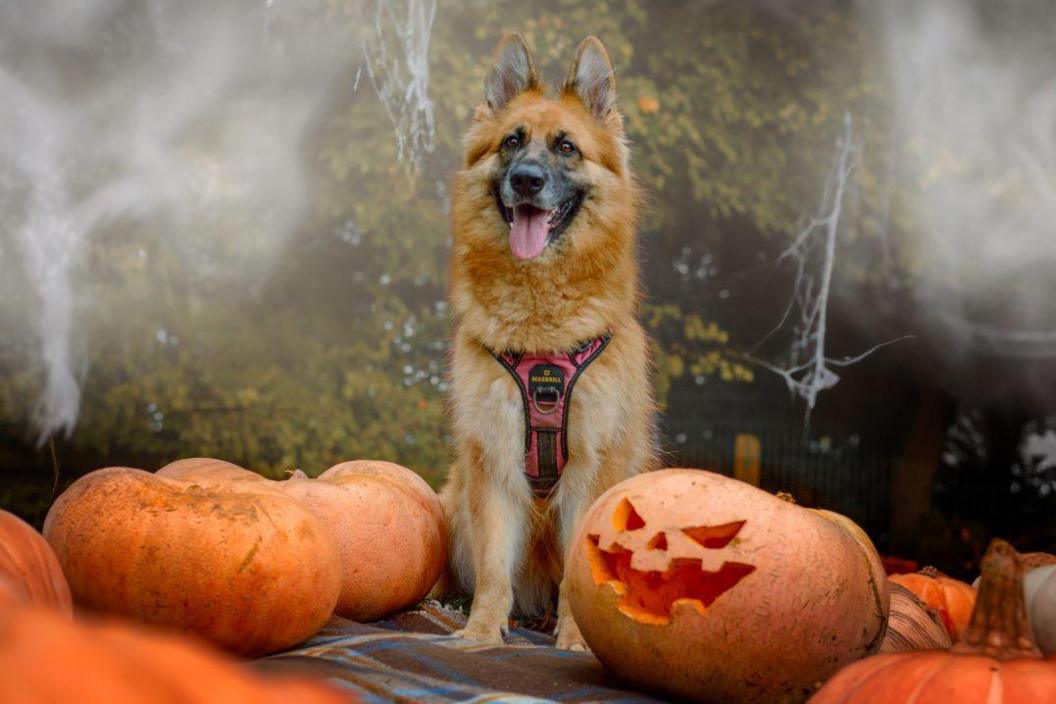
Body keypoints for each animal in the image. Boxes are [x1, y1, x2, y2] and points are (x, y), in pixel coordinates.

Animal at [435, 32, 650, 650]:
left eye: (567, 147)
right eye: (512, 141)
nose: (526, 180)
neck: (541, 331)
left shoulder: (592, 470)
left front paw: (576, 639)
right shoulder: (492, 461)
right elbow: (491, 568)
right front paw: (481, 634)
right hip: (454, 500)